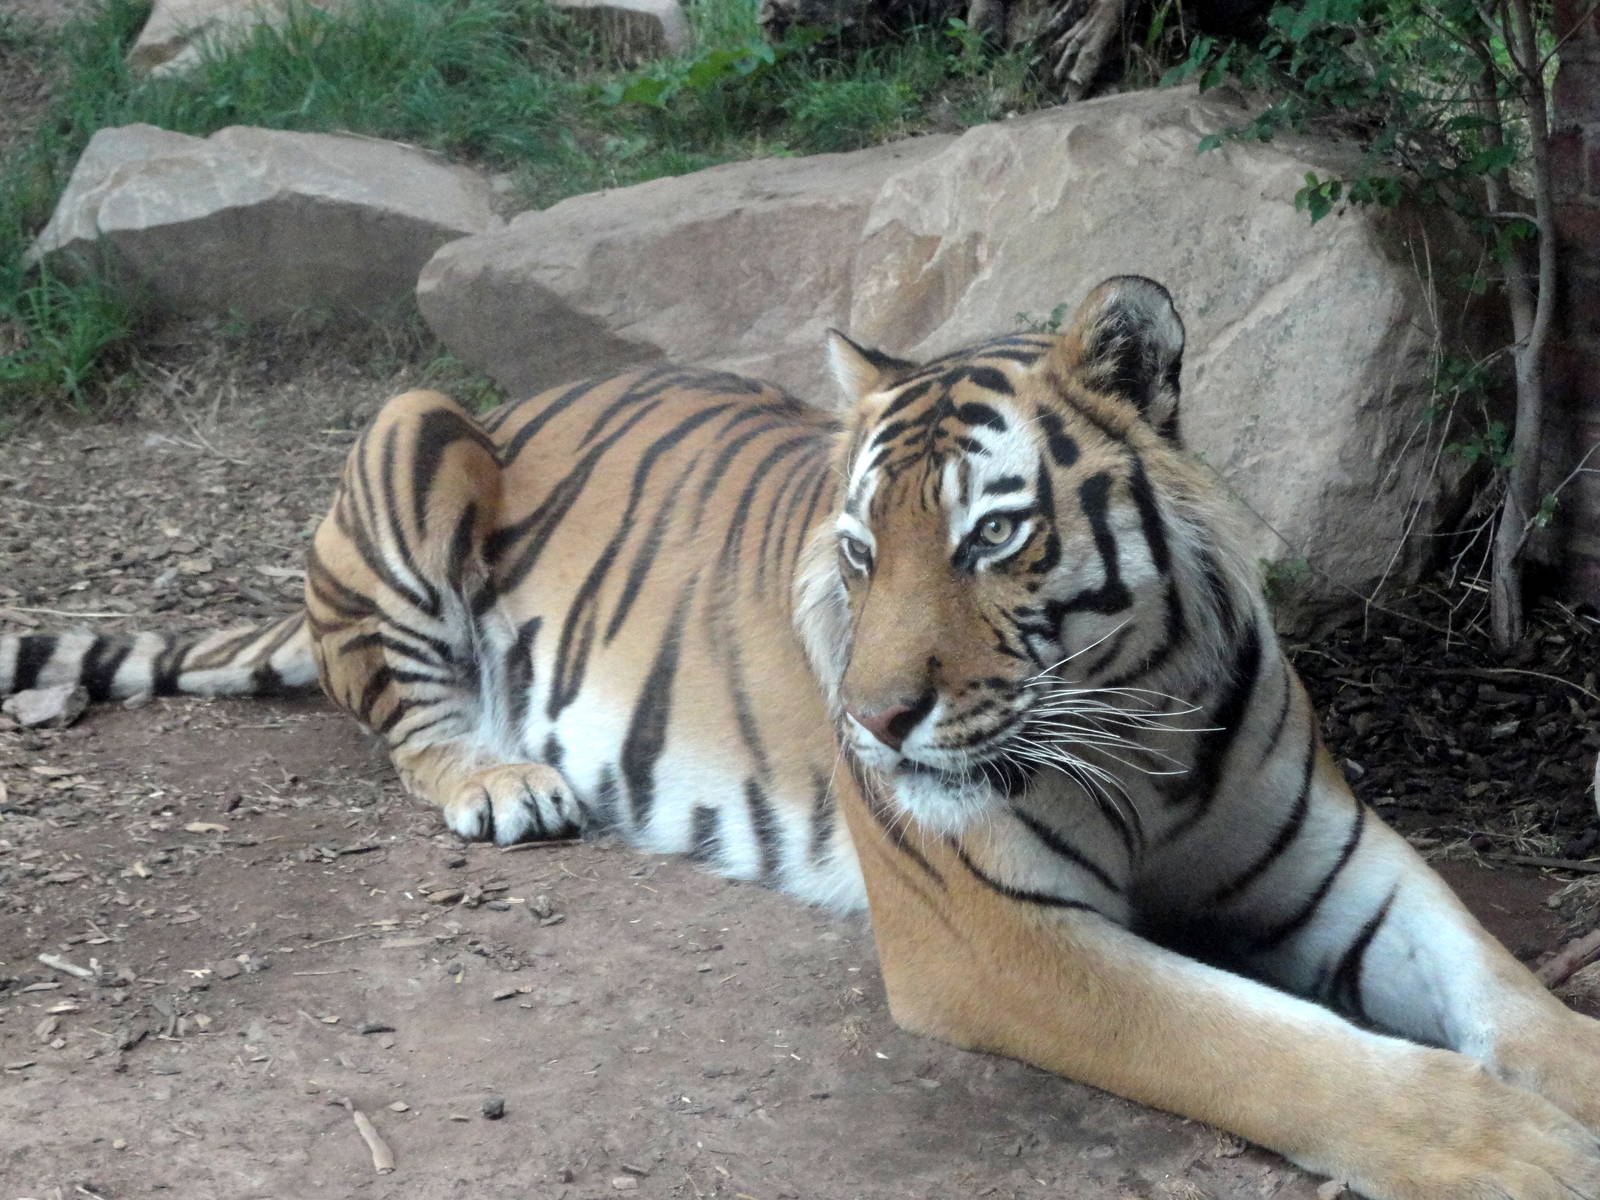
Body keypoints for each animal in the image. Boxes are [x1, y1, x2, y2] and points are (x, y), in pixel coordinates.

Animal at [6, 276, 1600, 1200]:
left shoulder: (1339, 862)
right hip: (413, 420)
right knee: (405, 715)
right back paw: (506, 778)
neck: (1135, 711)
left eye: (992, 538)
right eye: (858, 552)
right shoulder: (1001, 939)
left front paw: (1566, 1084)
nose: (876, 722)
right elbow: (1280, 1051)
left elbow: (1505, 996)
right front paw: (1520, 1156)